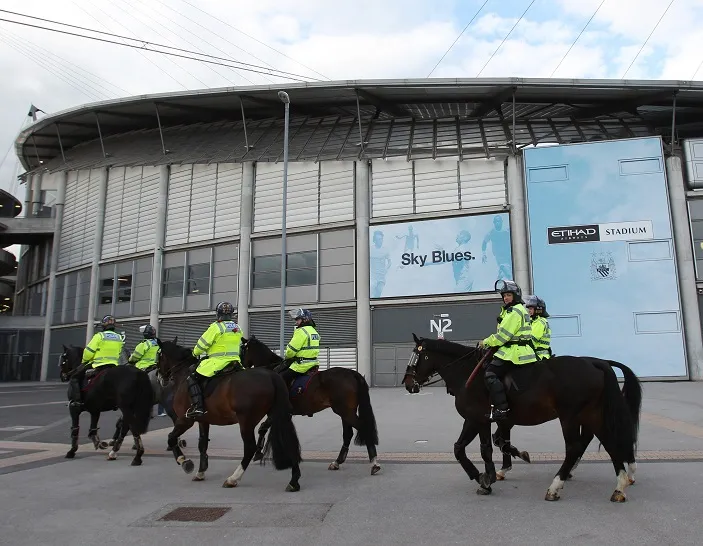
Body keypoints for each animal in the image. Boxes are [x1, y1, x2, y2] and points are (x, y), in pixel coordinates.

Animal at [157, 336, 306, 488]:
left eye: (159, 355)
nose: (160, 377)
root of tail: (272, 376)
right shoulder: (203, 420)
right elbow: (202, 444)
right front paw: (200, 472)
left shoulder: (185, 420)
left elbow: (171, 438)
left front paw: (184, 461)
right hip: (277, 415)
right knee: (288, 441)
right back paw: (294, 480)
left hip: (246, 421)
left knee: (250, 448)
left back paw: (233, 478)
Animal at [242, 334, 384, 474]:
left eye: (243, 349)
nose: (242, 365)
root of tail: (352, 373)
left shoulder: (275, 412)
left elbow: (262, 428)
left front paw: (259, 452)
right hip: (347, 412)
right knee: (348, 434)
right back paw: (337, 462)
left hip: (345, 412)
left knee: (362, 428)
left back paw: (374, 462)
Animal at [402, 334, 644, 500]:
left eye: (417, 355)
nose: (408, 383)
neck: (467, 374)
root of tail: (594, 362)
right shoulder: (479, 420)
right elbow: (466, 447)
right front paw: (488, 475)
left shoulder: (479, 419)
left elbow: (483, 449)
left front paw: (486, 478)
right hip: (591, 414)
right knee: (608, 442)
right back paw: (619, 485)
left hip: (570, 416)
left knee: (575, 446)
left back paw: (556, 485)